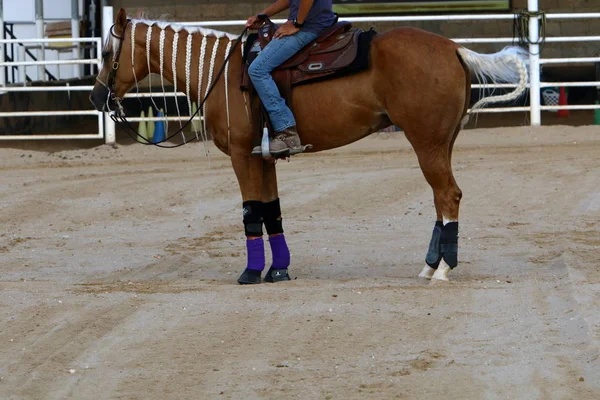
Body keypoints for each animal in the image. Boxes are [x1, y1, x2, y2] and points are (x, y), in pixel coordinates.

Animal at [90, 9, 528, 284]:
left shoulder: (241, 156)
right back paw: (430, 265)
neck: (222, 73)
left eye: (108, 52)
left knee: (448, 196)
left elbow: (251, 213)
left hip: (428, 144)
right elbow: (272, 212)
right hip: (441, 143)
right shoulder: (263, 159)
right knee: (441, 199)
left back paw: (442, 270)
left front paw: (251, 273)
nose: (96, 97)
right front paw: (278, 271)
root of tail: (454, 48)